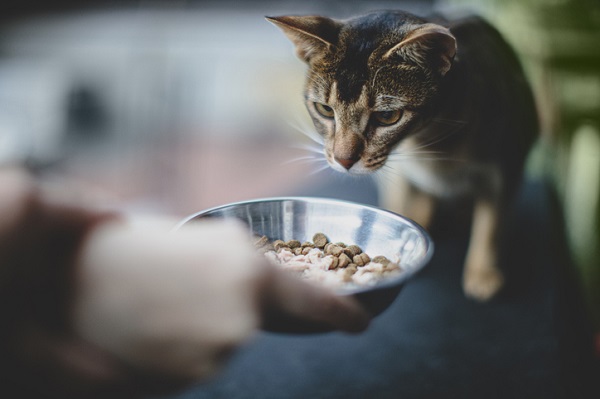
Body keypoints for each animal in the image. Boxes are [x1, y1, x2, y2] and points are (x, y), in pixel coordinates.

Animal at [268, 9, 540, 302]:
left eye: (387, 116)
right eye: (325, 110)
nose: (343, 160)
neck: (433, 145)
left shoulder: (506, 166)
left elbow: (490, 226)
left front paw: (482, 273)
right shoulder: (400, 175)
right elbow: (401, 204)